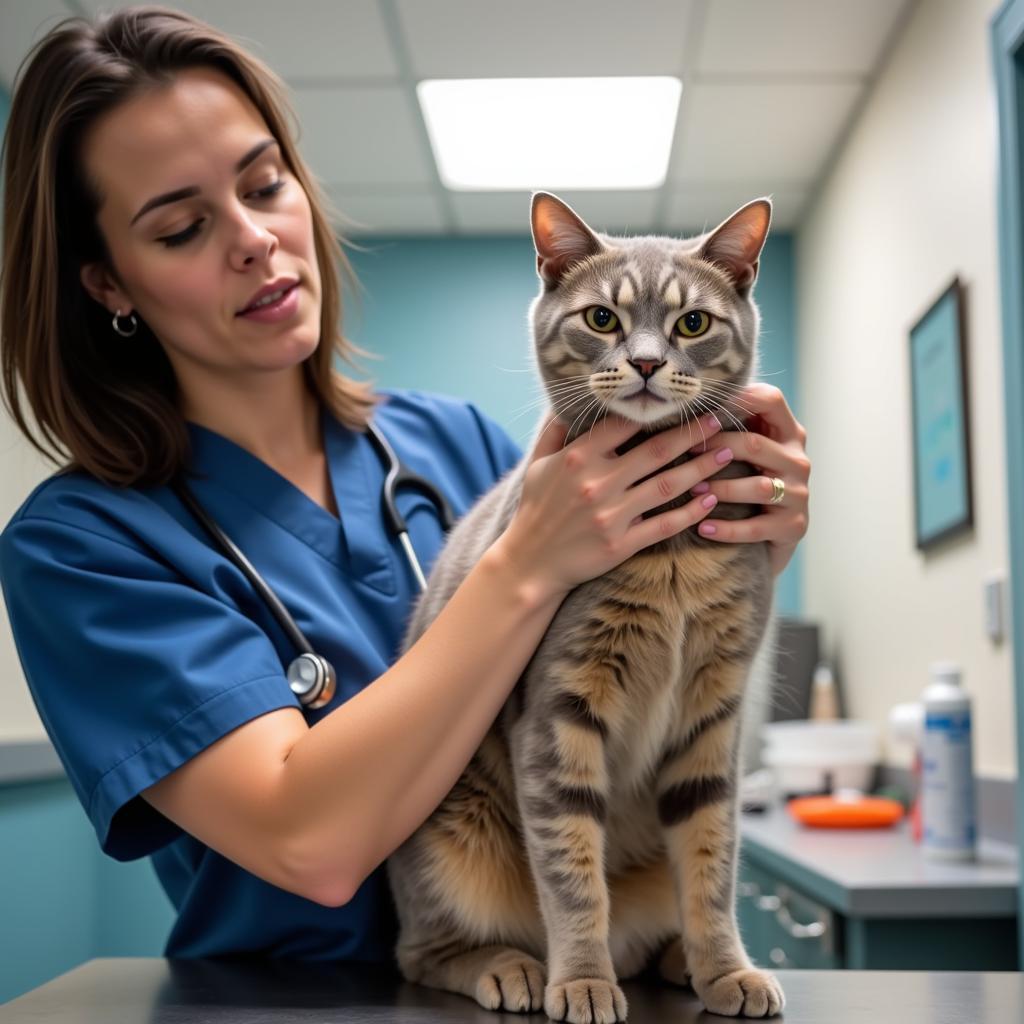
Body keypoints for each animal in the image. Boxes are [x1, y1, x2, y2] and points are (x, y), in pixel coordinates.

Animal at [385, 193, 782, 1024]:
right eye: (602, 318)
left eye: (692, 323)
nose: (645, 362)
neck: (669, 553)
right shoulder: (560, 708)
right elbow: (571, 876)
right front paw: (582, 981)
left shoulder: (713, 714)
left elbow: (712, 865)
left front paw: (726, 968)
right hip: (448, 839)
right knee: (421, 952)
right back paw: (513, 968)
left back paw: (676, 960)